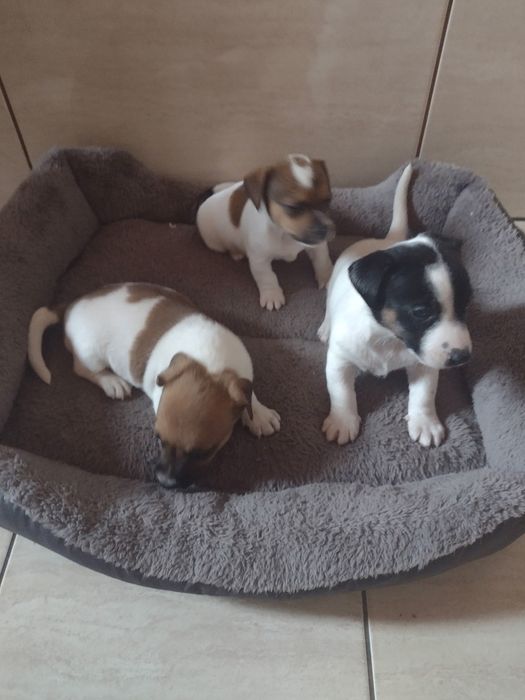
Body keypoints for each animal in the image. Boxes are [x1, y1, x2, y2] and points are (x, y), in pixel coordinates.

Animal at [28, 283, 280, 488]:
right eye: (158, 439)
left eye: (202, 453)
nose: (165, 483)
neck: (211, 366)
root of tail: (71, 306)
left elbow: (246, 391)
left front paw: (258, 414)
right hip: (91, 354)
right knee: (82, 368)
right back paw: (111, 381)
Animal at [196, 154, 335, 310]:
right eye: (293, 207)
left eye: (328, 201)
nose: (325, 230)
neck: (284, 234)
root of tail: (205, 201)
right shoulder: (259, 260)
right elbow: (267, 277)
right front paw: (272, 294)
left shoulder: (317, 246)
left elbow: (322, 261)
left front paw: (327, 276)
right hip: (216, 244)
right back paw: (236, 253)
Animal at [318, 163, 472, 447]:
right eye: (421, 312)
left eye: (465, 305)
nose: (462, 357)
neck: (388, 337)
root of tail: (387, 240)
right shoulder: (340, 360)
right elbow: (341, 392)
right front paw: (342, 420)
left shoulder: (426, 361)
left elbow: (425, 393)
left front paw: (425, 422)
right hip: (331, 286)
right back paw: (325, 327)